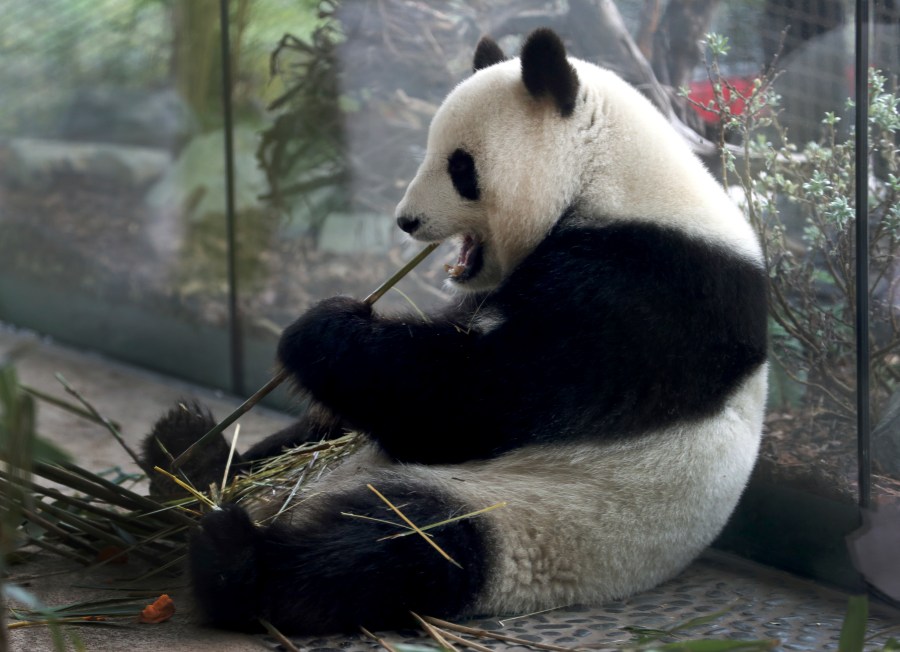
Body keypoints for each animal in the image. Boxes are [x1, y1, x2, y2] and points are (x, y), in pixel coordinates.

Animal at [144, 28, 768, 636]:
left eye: (460, 166)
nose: (406, 221)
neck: (613, 177)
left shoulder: (646, 294)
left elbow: (479, 401)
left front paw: (317, 328)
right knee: (306, 442)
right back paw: (186, 456)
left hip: (526, 516)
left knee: (394, 546)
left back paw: (232, 555)